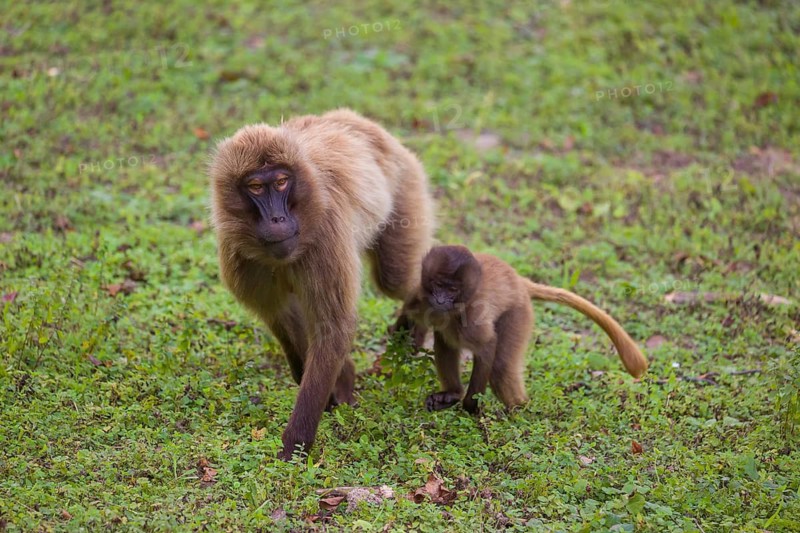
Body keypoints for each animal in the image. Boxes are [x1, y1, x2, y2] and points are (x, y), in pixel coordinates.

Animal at [209, 109, 435, 459]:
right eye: (256, 187)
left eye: (281, 182)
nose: (277, 219)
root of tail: (353, 118)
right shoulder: (240, 255)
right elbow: (280, 315)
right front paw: (334, 381)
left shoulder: (327, 235)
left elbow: (332, 327)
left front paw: (295, 445)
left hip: (405, 186)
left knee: (395, 278)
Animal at [398, 245, 648, 414]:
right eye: (438, 285)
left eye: (452, 290)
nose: (440, 300)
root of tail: (519, 281)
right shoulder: (419, 295)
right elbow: (408, 316)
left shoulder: (473, 315)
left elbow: (487, 347)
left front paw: (471, 406)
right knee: (445, 340)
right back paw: (453, 393)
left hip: (518, 313)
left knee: (499, 366)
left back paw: (519, 410)